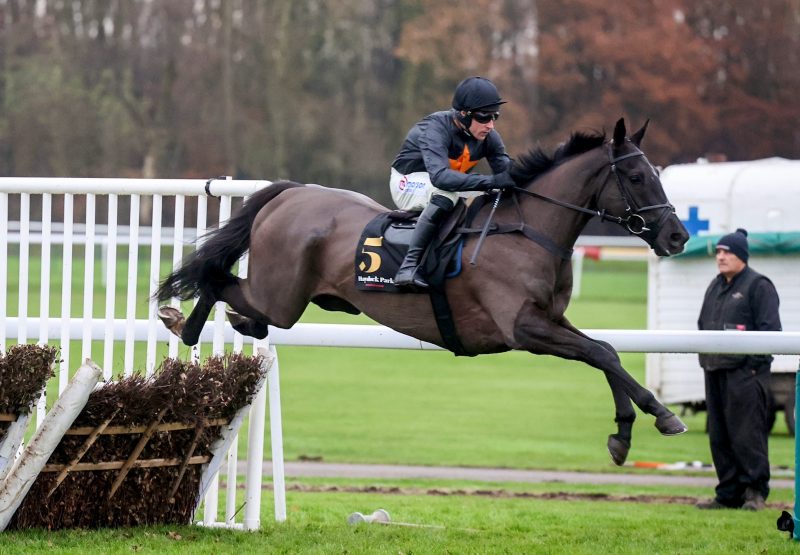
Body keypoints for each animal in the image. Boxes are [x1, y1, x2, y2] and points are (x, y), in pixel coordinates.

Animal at [155, 119, 688, 466]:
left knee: (247, 312)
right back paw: (182, 324)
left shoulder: (551, 320)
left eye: (658, 174)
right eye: (637, 177)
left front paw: (624, 434)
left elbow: (606, 352)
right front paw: (663, 415)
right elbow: (601, 354)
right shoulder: (523, 329)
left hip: (283, 300)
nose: (677, 236)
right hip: (280, 297)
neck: (528, 230)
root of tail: (290, 193)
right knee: (219, 281)